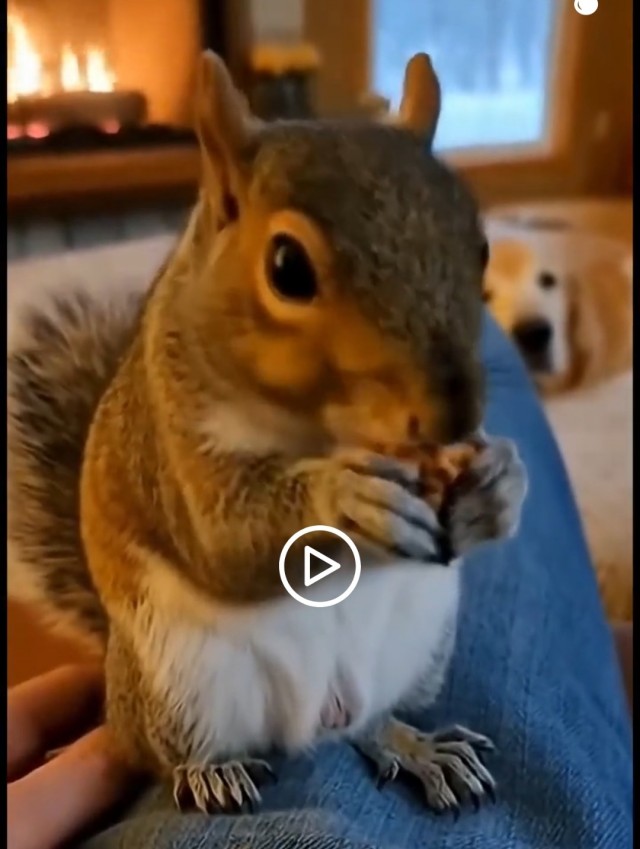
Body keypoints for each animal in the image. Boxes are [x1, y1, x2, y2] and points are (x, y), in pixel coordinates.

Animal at [7, 51, 527, 816]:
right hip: (181, 685)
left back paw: (415, 745)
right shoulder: (169, 441)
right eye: (287, 268)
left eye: (481, 248)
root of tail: (318, 714)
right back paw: (211, 770)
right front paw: (344, 500)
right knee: (169, 750)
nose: (453, 415)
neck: (324, 432)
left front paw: (500, 483)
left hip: (422, 646)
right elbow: (220, 538)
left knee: (368, 724)